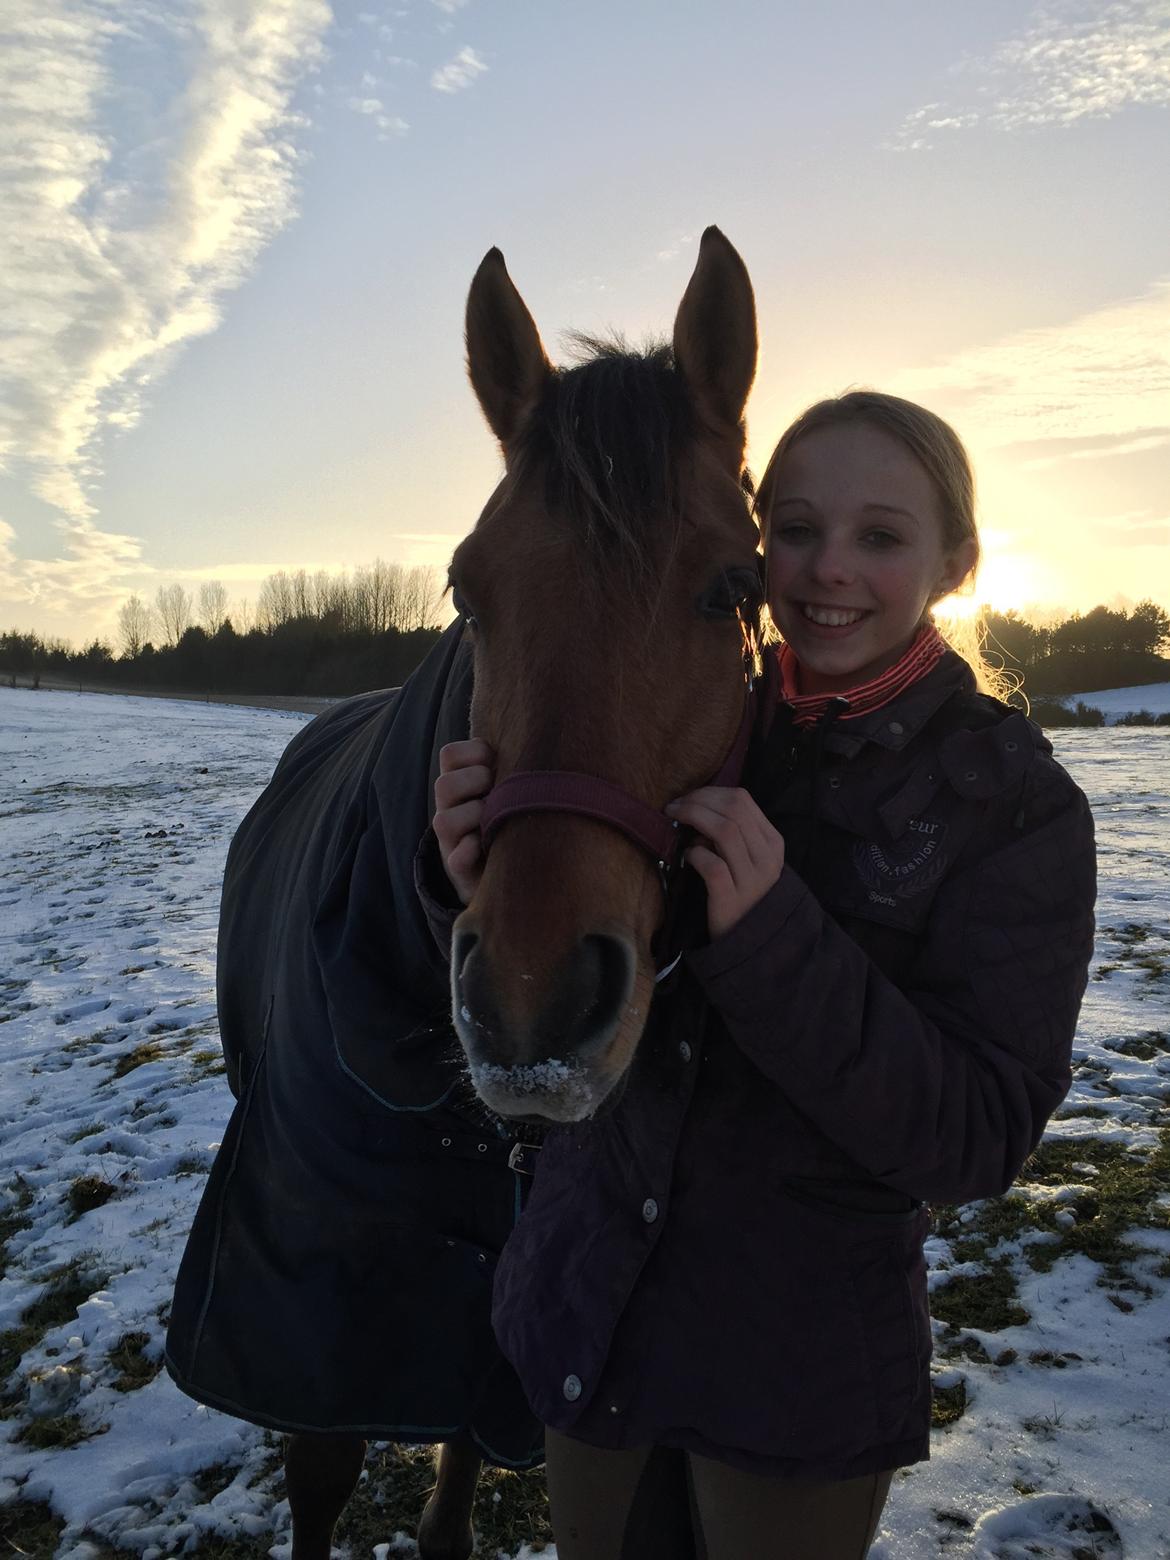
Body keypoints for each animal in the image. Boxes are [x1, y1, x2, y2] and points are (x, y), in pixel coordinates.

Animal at [165, 226, 761, 1559]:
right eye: (465, 590)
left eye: (731, 589)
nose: (533, 1002)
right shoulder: (319, 1309)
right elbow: (324, 1477)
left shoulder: (498, 1320)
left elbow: (459, 1468)